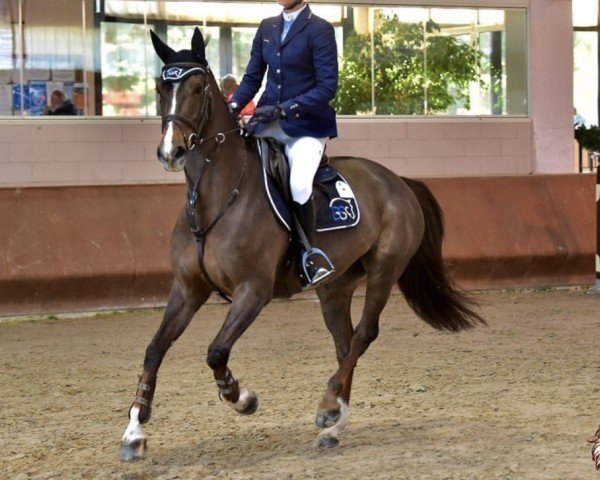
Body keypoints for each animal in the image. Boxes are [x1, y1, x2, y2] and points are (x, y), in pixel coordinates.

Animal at [119, 27, 486, 462]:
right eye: (161, 87)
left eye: (196, 87)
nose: (171, 152)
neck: (215, 194)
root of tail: (398, 181)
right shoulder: (187, 289)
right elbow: (154, 348)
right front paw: (134, 432)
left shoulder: (254, 290)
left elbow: (216, 351)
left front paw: (242, 398)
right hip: (334, 287)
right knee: (346, 345)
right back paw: (334, 425)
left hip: (385, 268)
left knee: (364, 335)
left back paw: (328, 408)